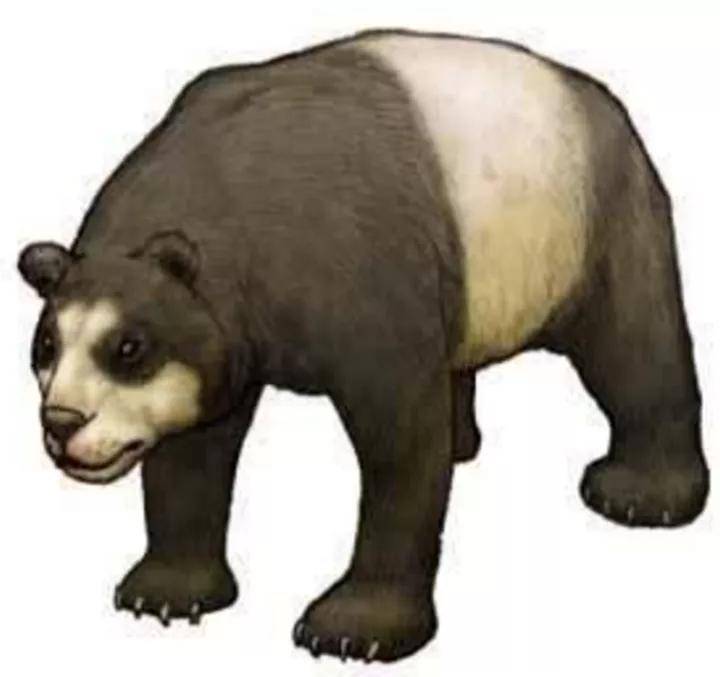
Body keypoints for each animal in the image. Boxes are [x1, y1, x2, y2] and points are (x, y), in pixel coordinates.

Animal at [18, 29, 709, 663]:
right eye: (45, 347)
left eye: (128, 348)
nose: (63, 425)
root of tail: (599, 98)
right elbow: (195, 443)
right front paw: (165, 591)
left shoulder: (359, 264)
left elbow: (400, 437)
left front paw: (353, 628)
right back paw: (463, 443)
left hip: (587, 221)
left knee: (632, 344)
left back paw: (641, 494)